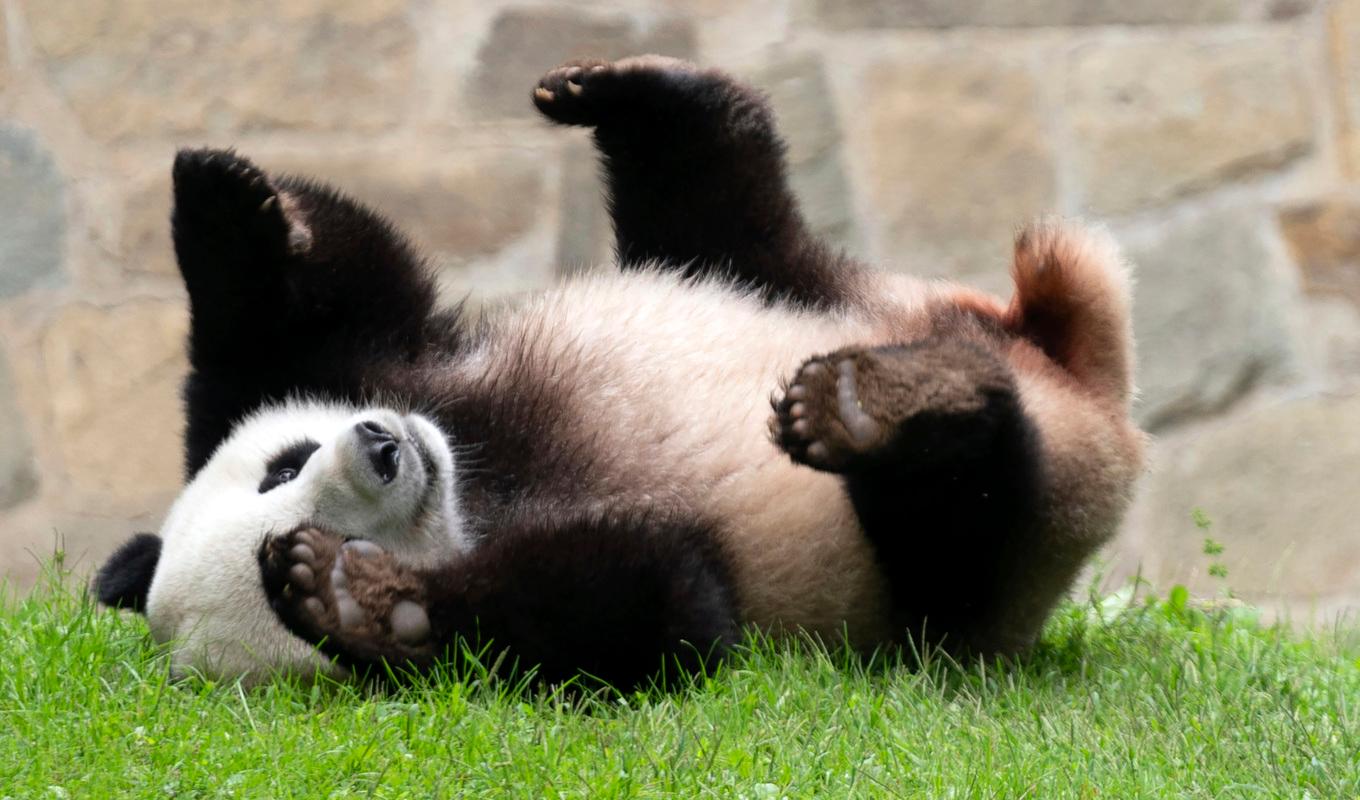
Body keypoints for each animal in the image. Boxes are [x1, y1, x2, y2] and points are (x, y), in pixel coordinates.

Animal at [93, 54, 1147, 688]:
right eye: (306, 508)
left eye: (283, 465)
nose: (384, 447)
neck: (479, 480)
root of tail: (1079, 380)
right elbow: (661, 610)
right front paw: (359, 600)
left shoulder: (392, 367)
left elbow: (327, 306)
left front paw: (223, 203)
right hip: (972, 574)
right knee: (965, 518)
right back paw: (885, 410)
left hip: (821, 289)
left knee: (725, 212)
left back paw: (636, 95)